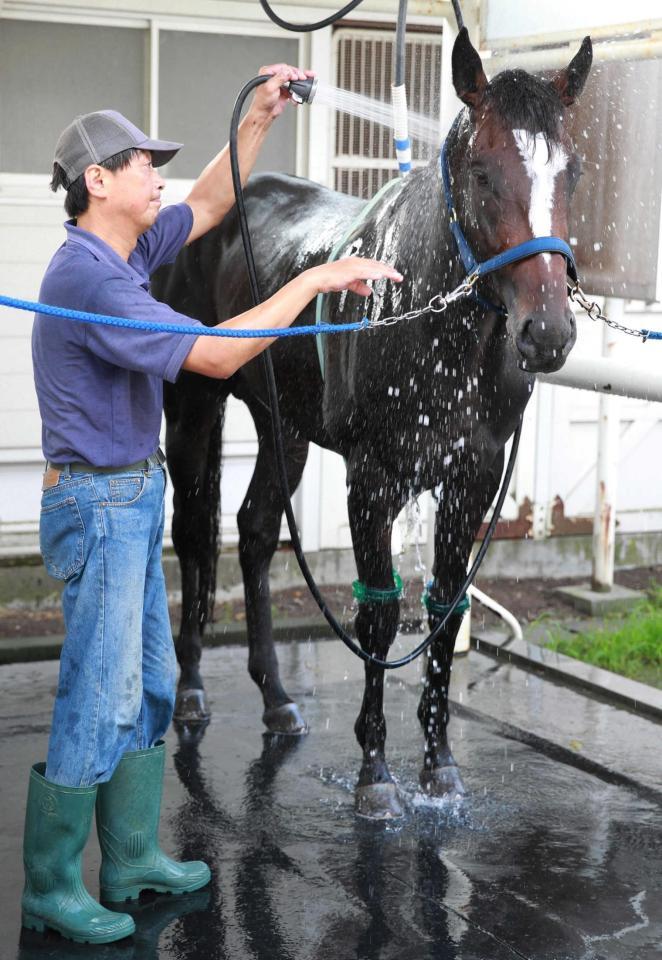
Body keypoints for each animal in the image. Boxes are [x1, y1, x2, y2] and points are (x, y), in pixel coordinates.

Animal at [154, 33, 592, 820]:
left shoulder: (473, 481)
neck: (426, 314)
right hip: (196, 404)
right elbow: (380, 619)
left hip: (283, 425)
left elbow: (444, 610)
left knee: (257, 530)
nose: (547, 333)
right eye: (483, 173)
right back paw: (193, 691)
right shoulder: (376, 479)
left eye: (569, 172)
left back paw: (276, 700)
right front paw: (375, 774)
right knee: (198, 532)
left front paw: (440, 767)